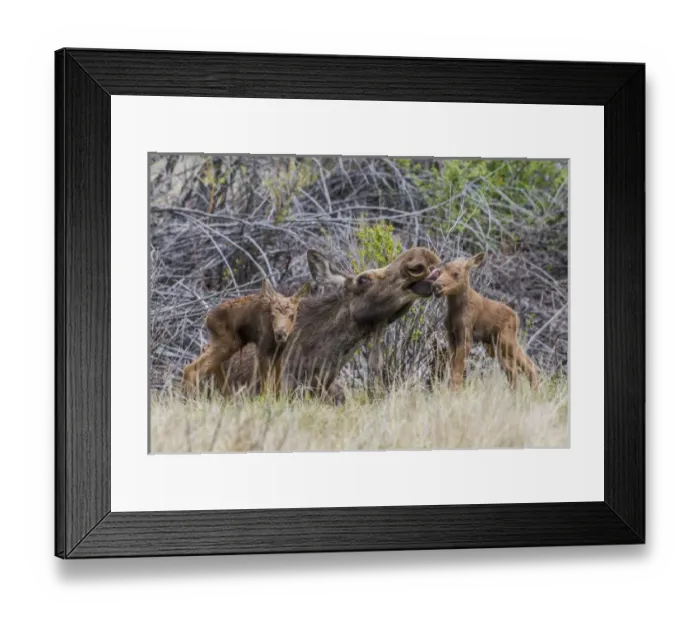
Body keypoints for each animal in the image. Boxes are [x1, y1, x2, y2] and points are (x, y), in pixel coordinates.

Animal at [181, 278, 311, 398]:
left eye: (292, 315)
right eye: (272, 315)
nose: (280, 333)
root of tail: (207, 319)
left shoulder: (278, 353)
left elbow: (277, 384)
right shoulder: (262, 350)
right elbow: (265, 385)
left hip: (223, 342)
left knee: (209, 364)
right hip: (229, 343)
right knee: (192, 368)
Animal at [431, 252, 539, 392]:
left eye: (456, 274)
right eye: (440, 272)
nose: (436, 287)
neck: (455, 310)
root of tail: (517, 318)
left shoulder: (466, 336)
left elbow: (457, 371)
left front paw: (455, 391)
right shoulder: (450, 335)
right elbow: (451, 368)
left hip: (506, 340)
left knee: (525, 366)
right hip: (497, 347)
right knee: (515, 370)